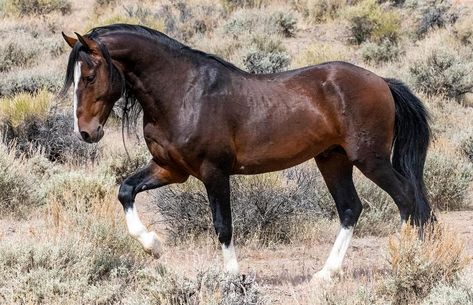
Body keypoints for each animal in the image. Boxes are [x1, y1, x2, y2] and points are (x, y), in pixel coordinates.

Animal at [60, 24, 432, 282]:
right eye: (75, 78)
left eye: (89, 75)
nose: (87, 132)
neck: (183, 93)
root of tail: (381, 81)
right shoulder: (169, 168)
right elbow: (126, 190)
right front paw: (153, 245)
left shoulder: (214, 172)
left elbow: (223, 225)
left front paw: (230, 277)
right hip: (333, 159)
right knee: (351, 208)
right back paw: (326, 273)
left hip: (369, 159)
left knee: (406, 199)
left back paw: (403, 259)